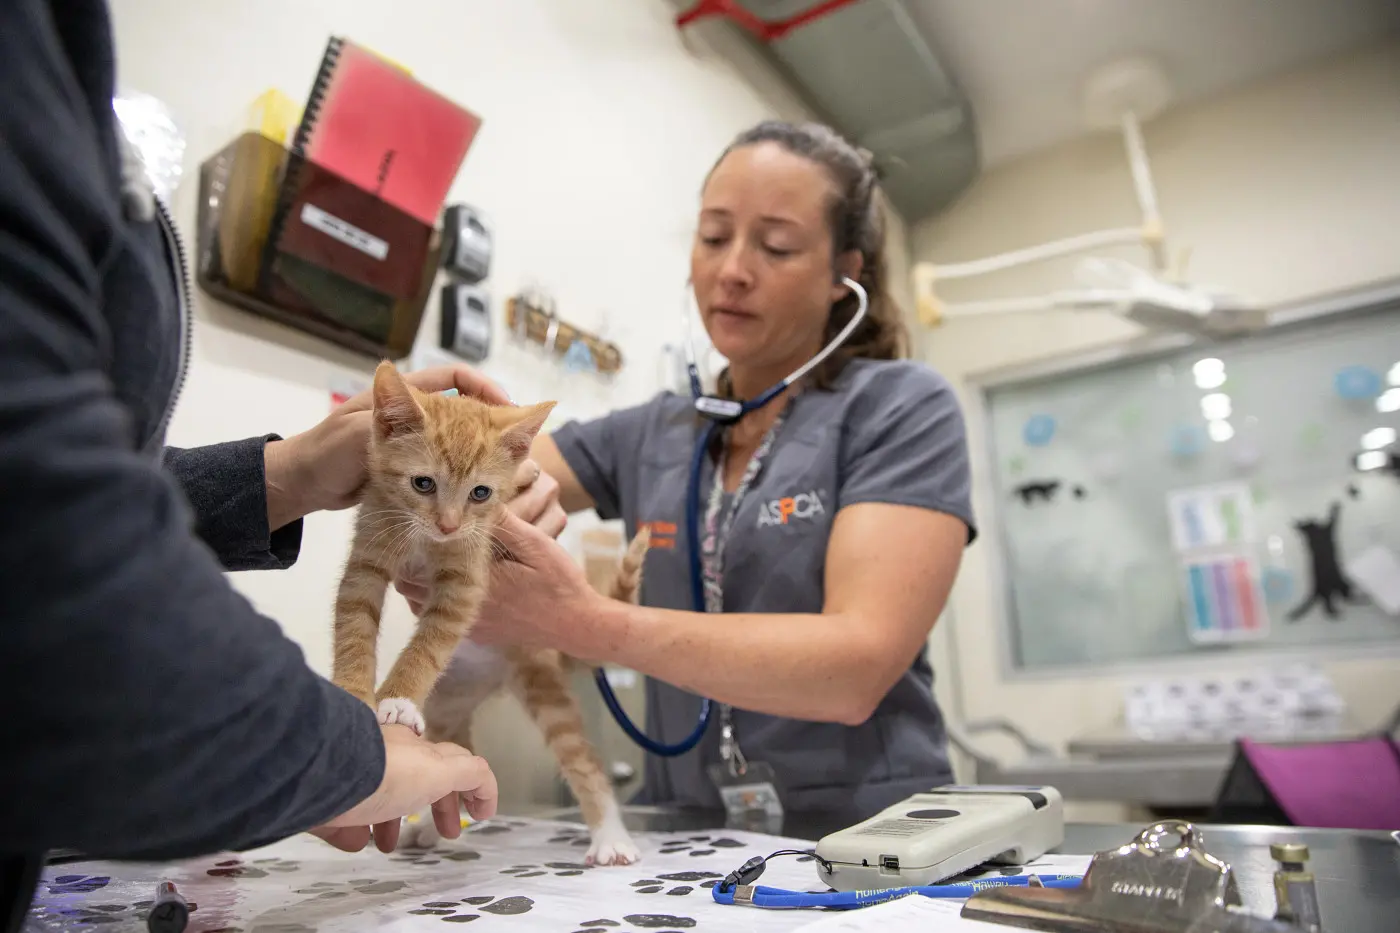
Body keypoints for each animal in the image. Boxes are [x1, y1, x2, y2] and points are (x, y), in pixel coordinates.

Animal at [333, 361, 644, 862]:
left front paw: (398, 699)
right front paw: (355, 693)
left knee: (583, 759)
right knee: (459, 761)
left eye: (481, 493)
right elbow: (353, 625)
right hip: (447, 704)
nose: (448, 525)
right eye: (423, 483)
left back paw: (610, 836)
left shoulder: (468, 577)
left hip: (542, 685)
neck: (426, 541)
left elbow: (432, 638)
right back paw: (435, 828)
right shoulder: (368, 555)